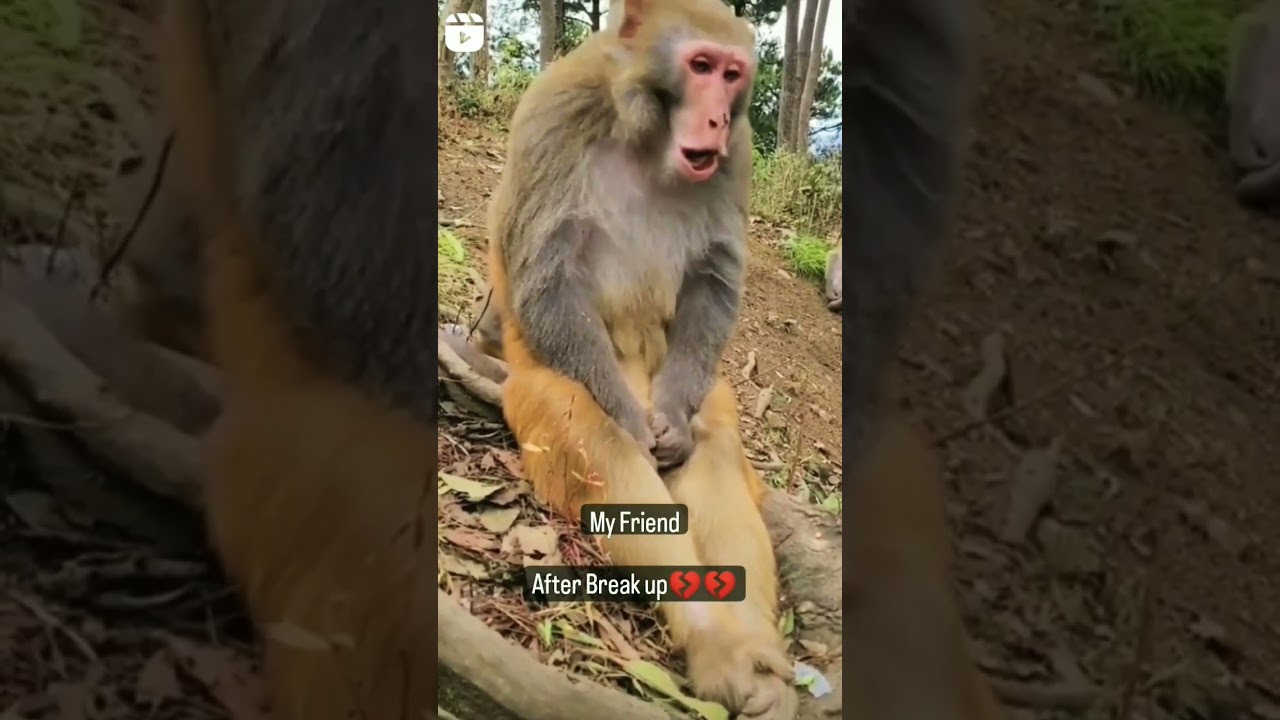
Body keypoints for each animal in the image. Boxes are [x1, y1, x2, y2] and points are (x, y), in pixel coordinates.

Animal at [484, 0, 799, 715]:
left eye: (732, 74)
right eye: (700, 65)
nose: (716, 117)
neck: (647, 138)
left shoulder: (738, 154)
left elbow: (712, 277)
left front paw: (673, 429)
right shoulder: (556, 114)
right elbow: (547, 281)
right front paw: (632, 427)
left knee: (711, 446)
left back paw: (748, 652)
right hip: (539, 387)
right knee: (602, 444)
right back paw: (718, 648)